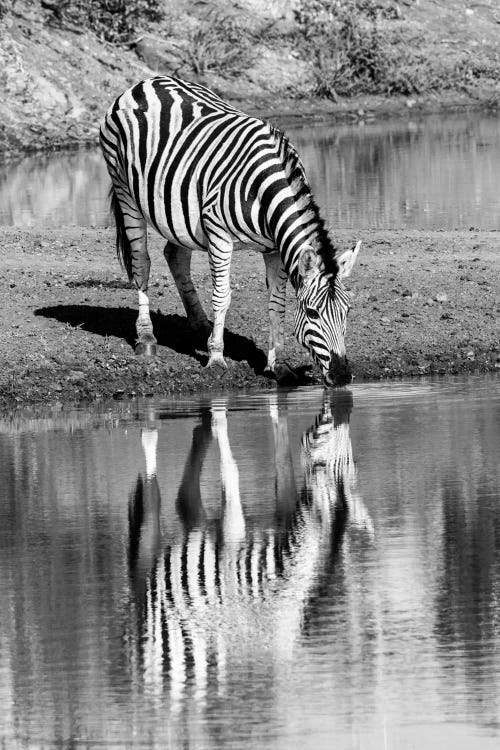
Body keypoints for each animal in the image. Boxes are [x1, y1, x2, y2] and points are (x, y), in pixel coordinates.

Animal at [100, 76, 360, 388]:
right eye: (312, 313)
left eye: (348, 311)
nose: (342, 376)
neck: (265, 190)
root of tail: (145, 82)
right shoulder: (219, 235)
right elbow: (222, 296)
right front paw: (215, 357)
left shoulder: (275, 248)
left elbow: (276, 303)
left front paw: (278, 365)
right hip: (125, 192)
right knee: (141, 264)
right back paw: (147, 338)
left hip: (179, 210)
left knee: (174, 254)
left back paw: (201, 323)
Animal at [122, 394, 372, 712]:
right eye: (324, 463)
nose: (344, 407)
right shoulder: (232, 538)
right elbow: (232, 469)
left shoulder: (279, 514)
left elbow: (274, 461)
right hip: (155, 578)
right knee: (153, 499)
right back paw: (154, 431)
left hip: (198, 542)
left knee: (184, 496)